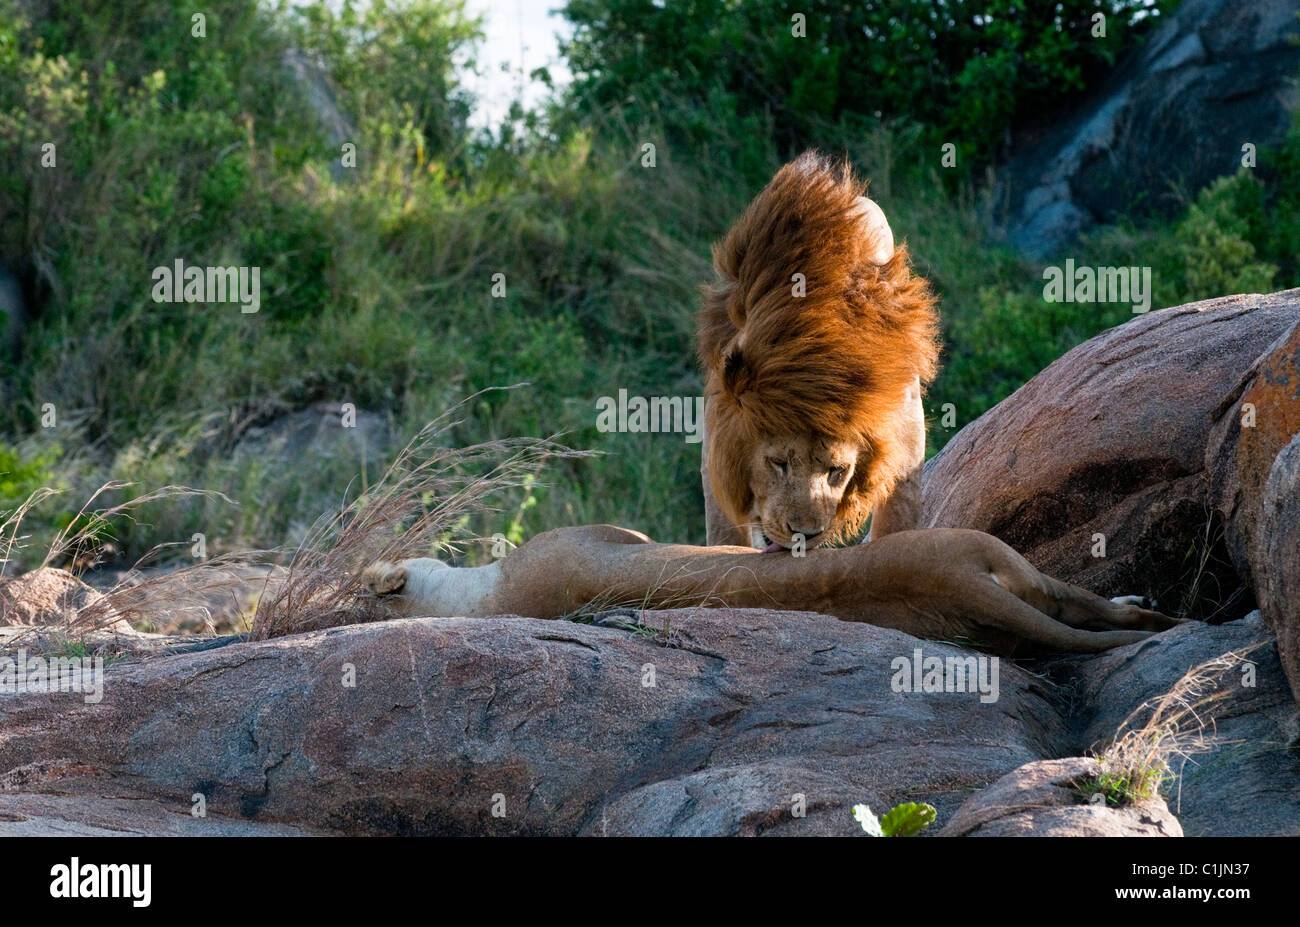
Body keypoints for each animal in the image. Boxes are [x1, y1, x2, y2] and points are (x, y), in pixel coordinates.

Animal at [702, 152, 935, 548]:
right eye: (778, 463)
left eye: (836, 471)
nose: (803, 534)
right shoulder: (716, 432)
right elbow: (723, 532)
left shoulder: (903, 424)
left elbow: (899, 513)